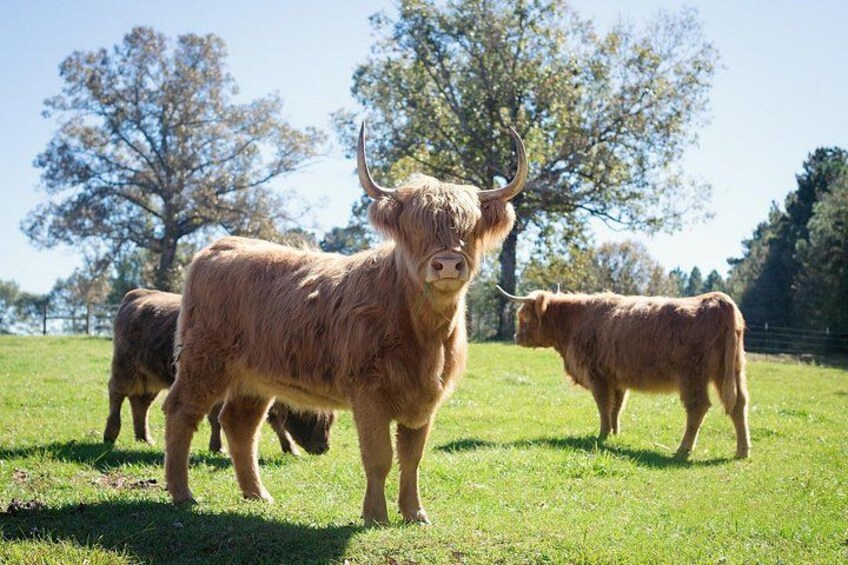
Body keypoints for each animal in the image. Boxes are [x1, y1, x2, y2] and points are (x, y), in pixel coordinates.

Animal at [104, 289, 334, 456]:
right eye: (315, 416)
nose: (324, 448)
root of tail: (138, 294)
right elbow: (217, 419)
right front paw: (219, 447)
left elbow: (275, 422)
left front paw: (289, 448)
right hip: (125, 368)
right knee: (117, 395)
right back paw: (110, 434)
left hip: (150, 378)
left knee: (140, 404)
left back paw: (144, 438)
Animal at [162, 123, 526, 525]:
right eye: (414, 229)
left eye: (470, 228)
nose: (447, 263)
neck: (423, 333)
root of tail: (218, 247)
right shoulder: (368, 393)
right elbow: (379, 457)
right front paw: (376, 516)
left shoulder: (424, 399)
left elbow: (412, 458)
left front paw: (415, 513)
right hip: (203, 361)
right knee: (181, 412)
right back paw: (182, 493)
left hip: (253, 377)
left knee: (239, 424)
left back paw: (257, 494)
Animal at [498, 287, 751, 460]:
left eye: (524, 316)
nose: (516, 337)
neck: (573, 322)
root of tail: (719, 300)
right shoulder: (617, 379)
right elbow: (616, 407)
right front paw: (614, 432)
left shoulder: (597, 375)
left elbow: (603, 405)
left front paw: (602, 435)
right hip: (731, 371)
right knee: (739, 404)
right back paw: (742, 450)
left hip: (692, 375)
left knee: (698, 407)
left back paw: (683, 449)